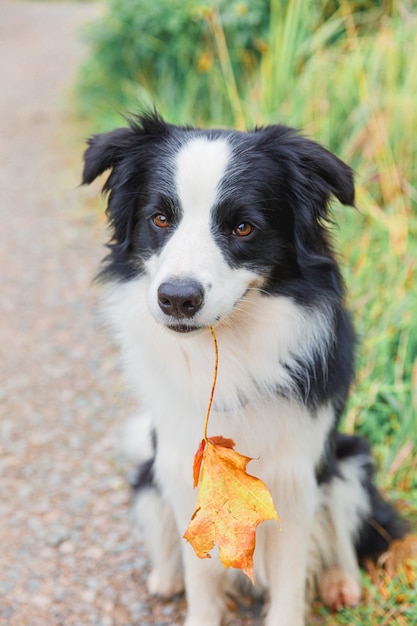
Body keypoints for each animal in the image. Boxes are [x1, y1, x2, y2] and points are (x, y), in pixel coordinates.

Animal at [82, 112, 404, 624]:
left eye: (243, 227)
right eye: (160, 219)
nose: (176, 299)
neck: (227, 353)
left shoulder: (294, 479)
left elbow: (291, 582)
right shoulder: (181, 469)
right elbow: (200, 576)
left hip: (350, 459)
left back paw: (342, 583)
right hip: (150, 478)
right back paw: (165, 577)